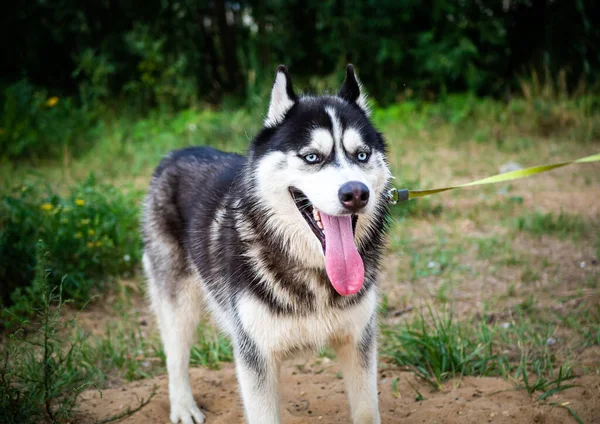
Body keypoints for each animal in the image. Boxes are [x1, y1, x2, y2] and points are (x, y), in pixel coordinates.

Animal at [143, 63, 392, 424]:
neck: (311, 271)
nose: (356, 193)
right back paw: (183, 406)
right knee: (175, 354)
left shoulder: (358, 341)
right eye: (312, 157)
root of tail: (177, 153)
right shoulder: (255, 354)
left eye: (361, 155)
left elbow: (367, 411)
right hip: (178, 301)